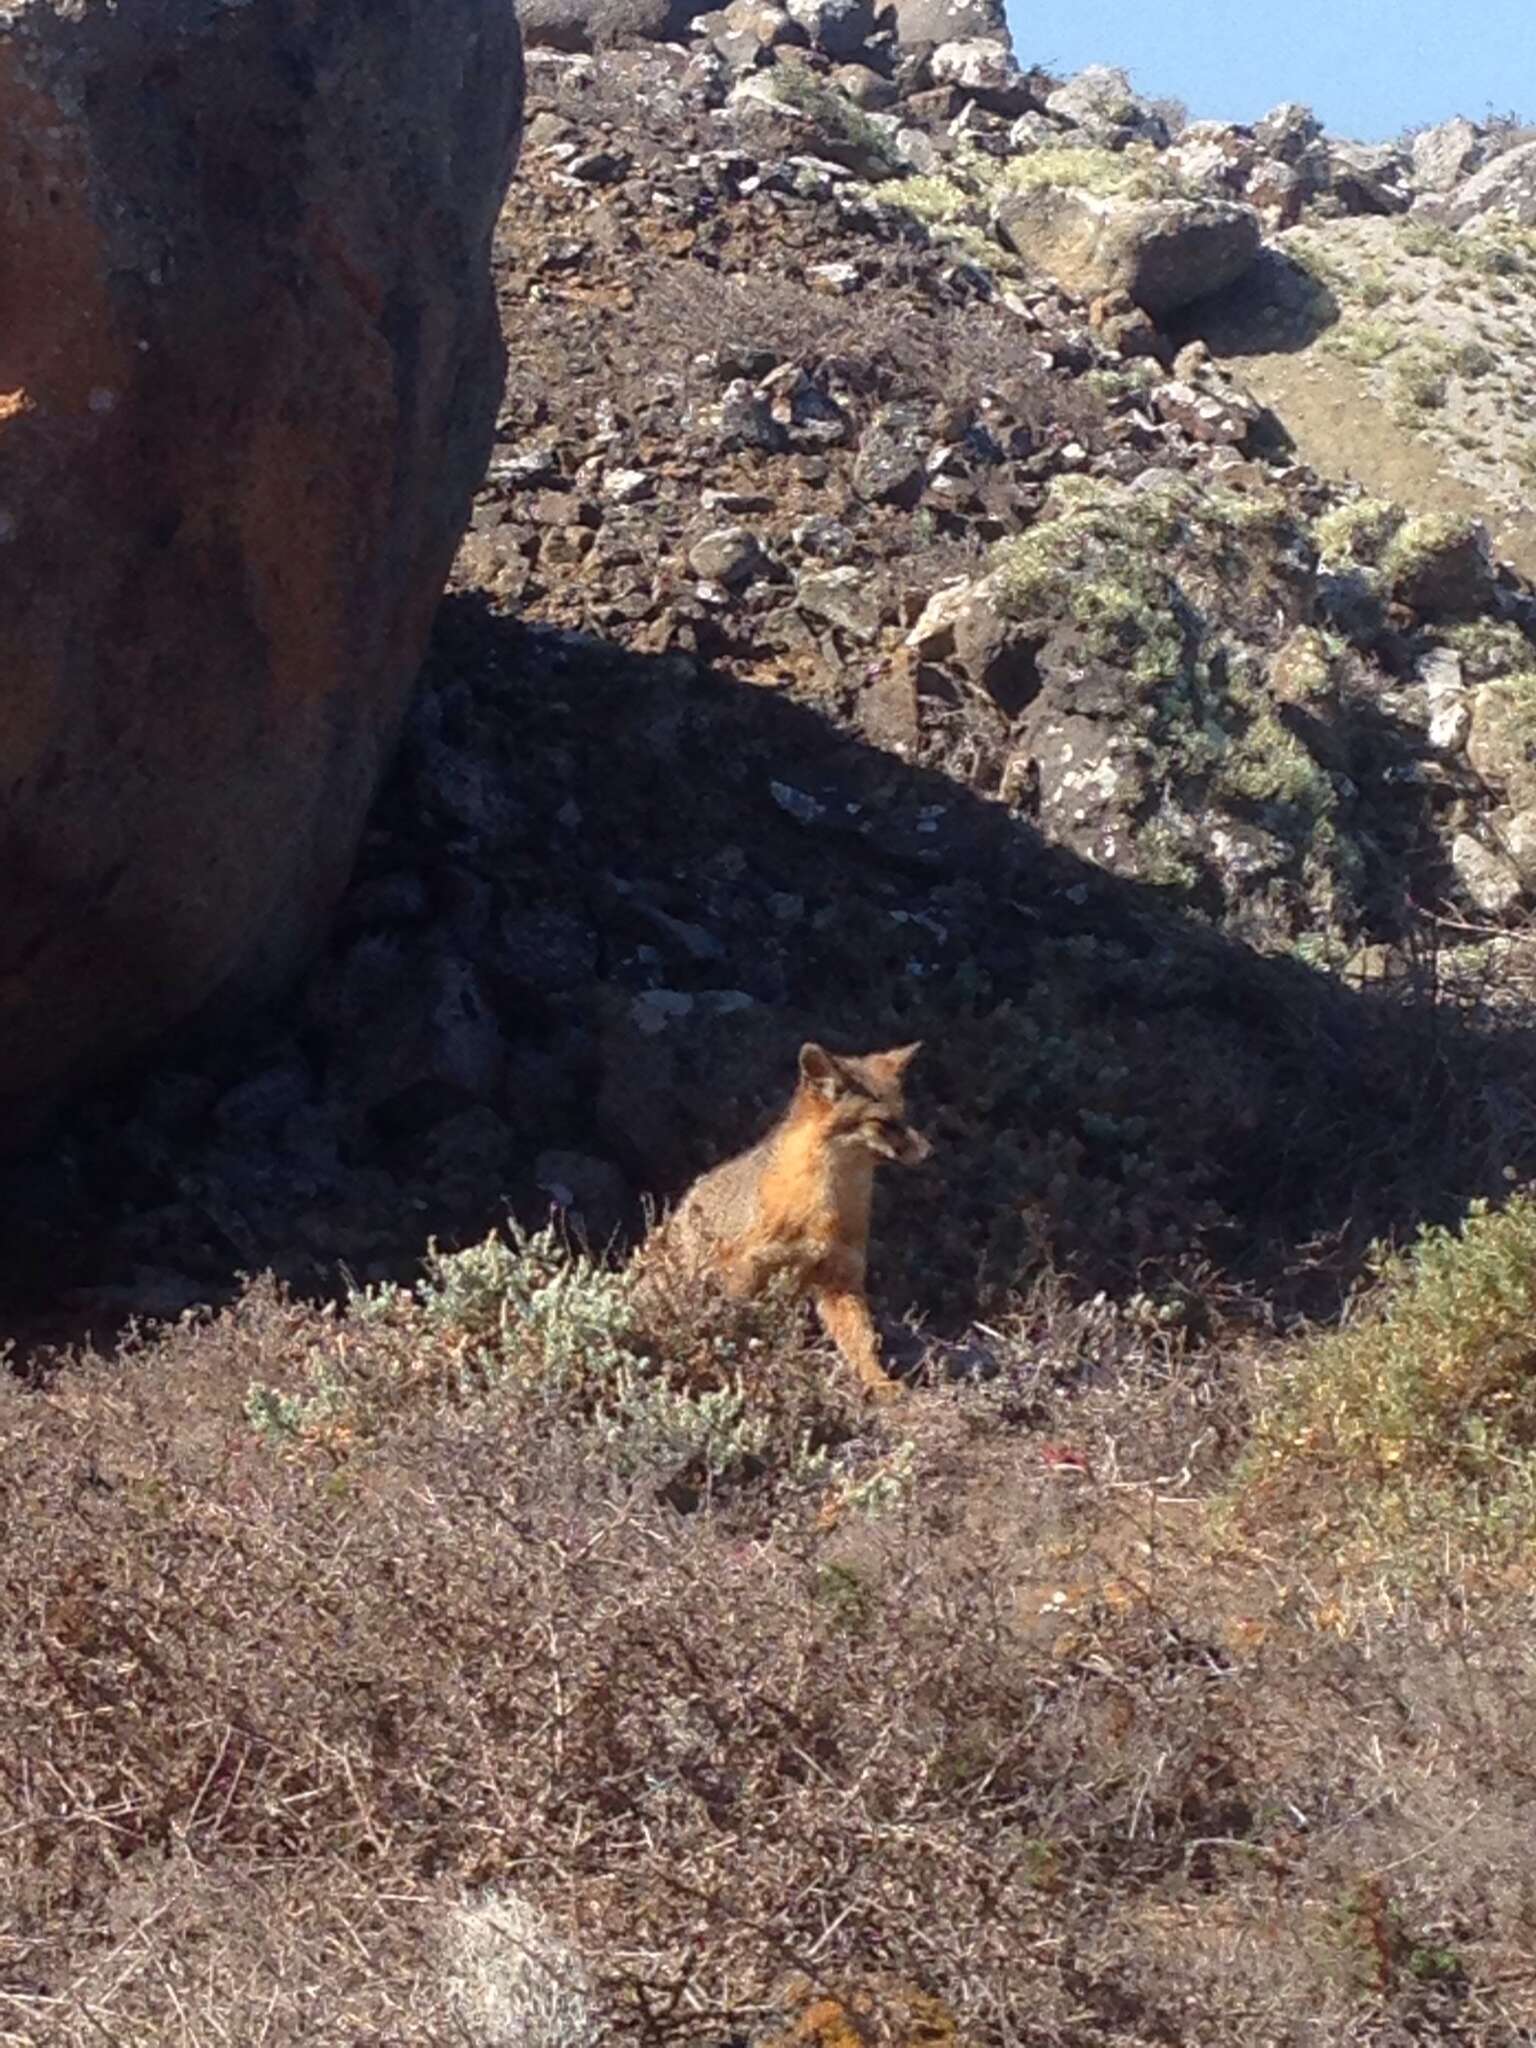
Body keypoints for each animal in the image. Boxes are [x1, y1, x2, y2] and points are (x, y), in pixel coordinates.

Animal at [659, 1048, 925, 1400]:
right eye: (881, 1122)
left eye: (904, 1116)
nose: (928, 1150)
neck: (823, 1210)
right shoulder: (746, 1269)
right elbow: (737, 1328)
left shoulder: (841, 1278)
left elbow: (862, 1342)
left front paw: (878, 1382)